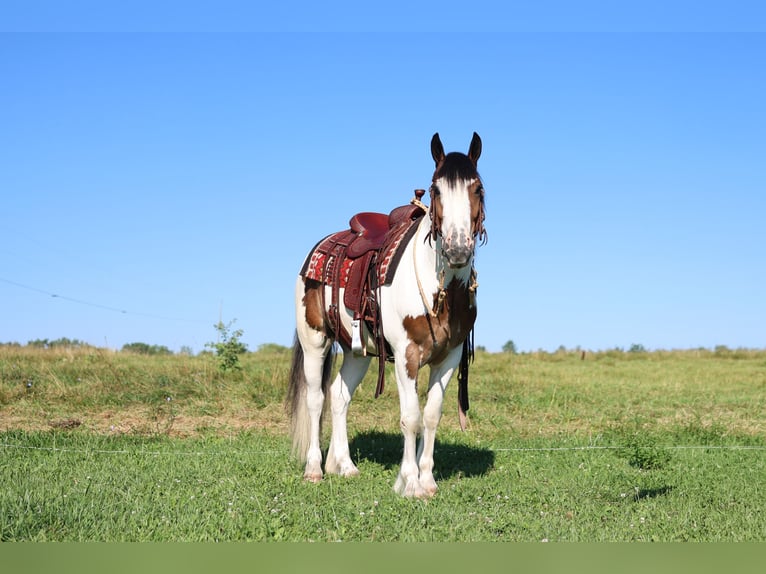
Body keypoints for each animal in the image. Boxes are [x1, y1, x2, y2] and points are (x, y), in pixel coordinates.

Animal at [287, 132, 486, 498]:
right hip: (315, 342)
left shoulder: (449, 358)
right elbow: (411, 416)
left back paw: (344, 466)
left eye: (477, 188)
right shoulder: (407, 355)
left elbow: (432, 415)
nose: (457, 249)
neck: (442, 292)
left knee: (339, 396)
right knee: (316, 399)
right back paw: (314, 469)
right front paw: (410, 483)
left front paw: (428, 480)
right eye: (436, 190)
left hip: (357, 352)